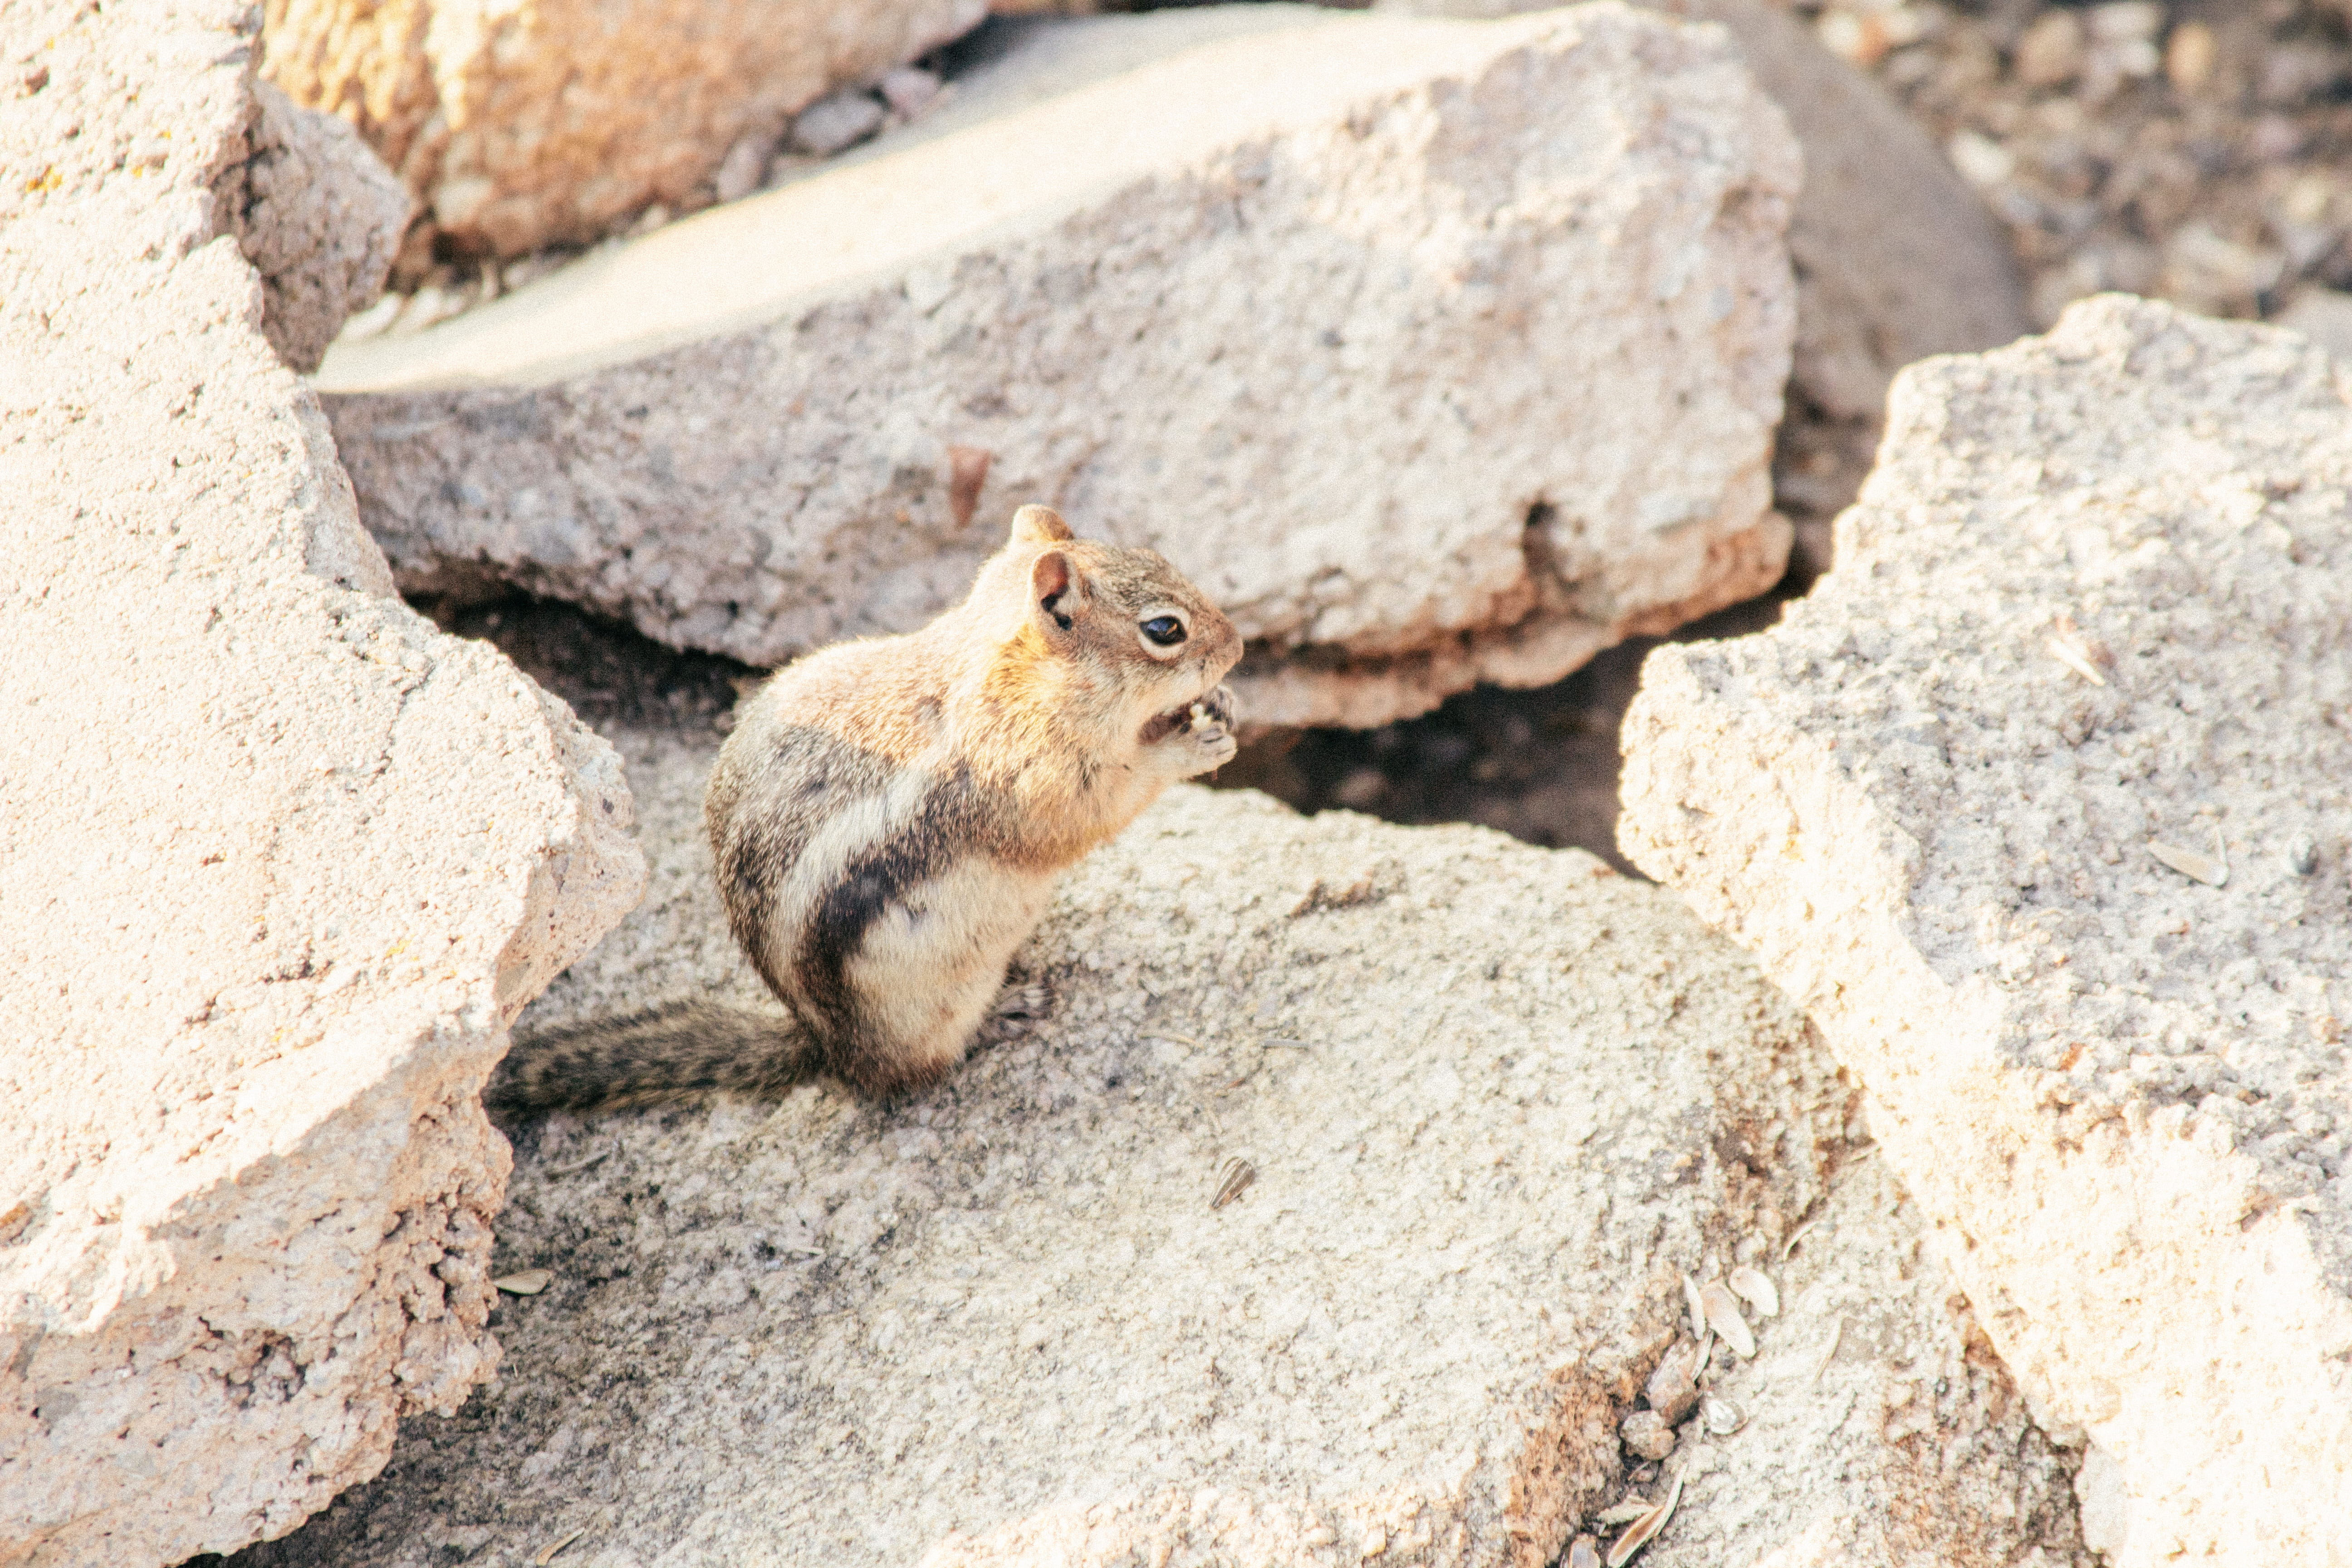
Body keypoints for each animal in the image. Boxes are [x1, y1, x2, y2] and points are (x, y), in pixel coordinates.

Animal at [489, 504, 1243, 1113]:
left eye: (1163, 559)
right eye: (1165, 629)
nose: (1238, 646)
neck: (1014, 674)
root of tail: (824, 1048)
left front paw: (1221, 704)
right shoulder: (1036, 779)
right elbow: (1101, 806)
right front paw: (1190, 746)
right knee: (919, 1071)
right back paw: (1002, 1014)